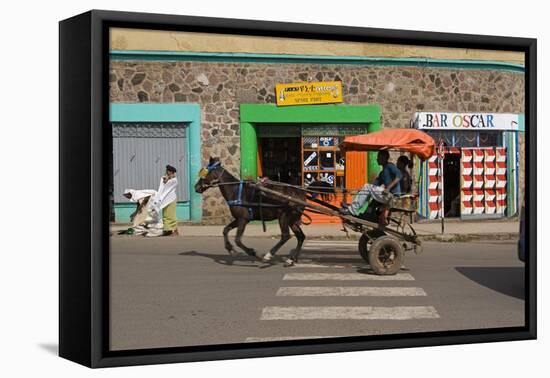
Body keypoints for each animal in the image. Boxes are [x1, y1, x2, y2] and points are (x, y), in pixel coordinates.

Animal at [195, 157, 332, 266]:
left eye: (204, 172)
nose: (196, 187)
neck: (235, 190)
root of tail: (301, 191)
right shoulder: (239, 219)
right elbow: (225, 230)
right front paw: (230, 249)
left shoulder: (243, 219)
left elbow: (238, 240)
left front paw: (253, 253)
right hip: (292, 219)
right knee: (300, 237)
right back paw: (292, 259)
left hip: (284, 216)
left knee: (285, 236)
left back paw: (269, 255)